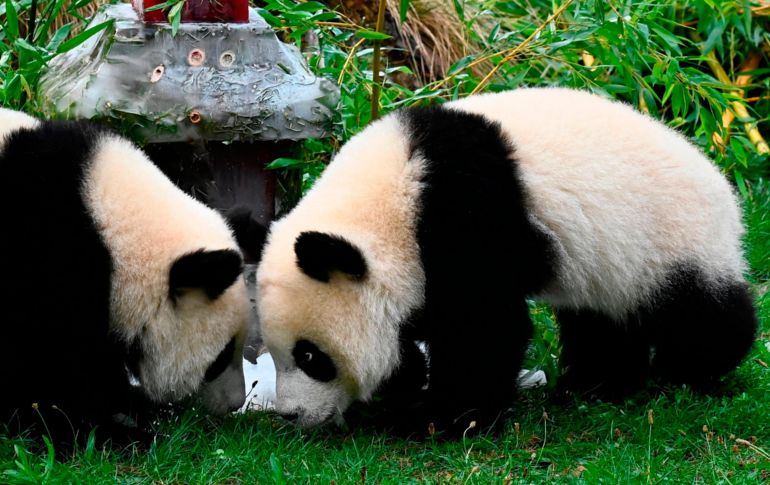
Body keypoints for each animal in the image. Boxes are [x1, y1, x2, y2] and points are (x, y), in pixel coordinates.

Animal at [0, 108, 249, 446]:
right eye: (221, 357)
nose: (235, 403)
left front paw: (132, 405)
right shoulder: (42, 254)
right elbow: (42, 367)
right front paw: (105, 432)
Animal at [255, 88, 758, 434]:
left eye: (310, 356)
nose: (291, 414)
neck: (393, 197)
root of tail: (723, 185)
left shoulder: (465, 210)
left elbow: (483, 321)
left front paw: (440, 417)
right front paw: (407, 383)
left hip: (669, 238)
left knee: (699, 313)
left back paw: (694, 368)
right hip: (607, 266)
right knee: (603, 319)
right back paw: (598, 382)